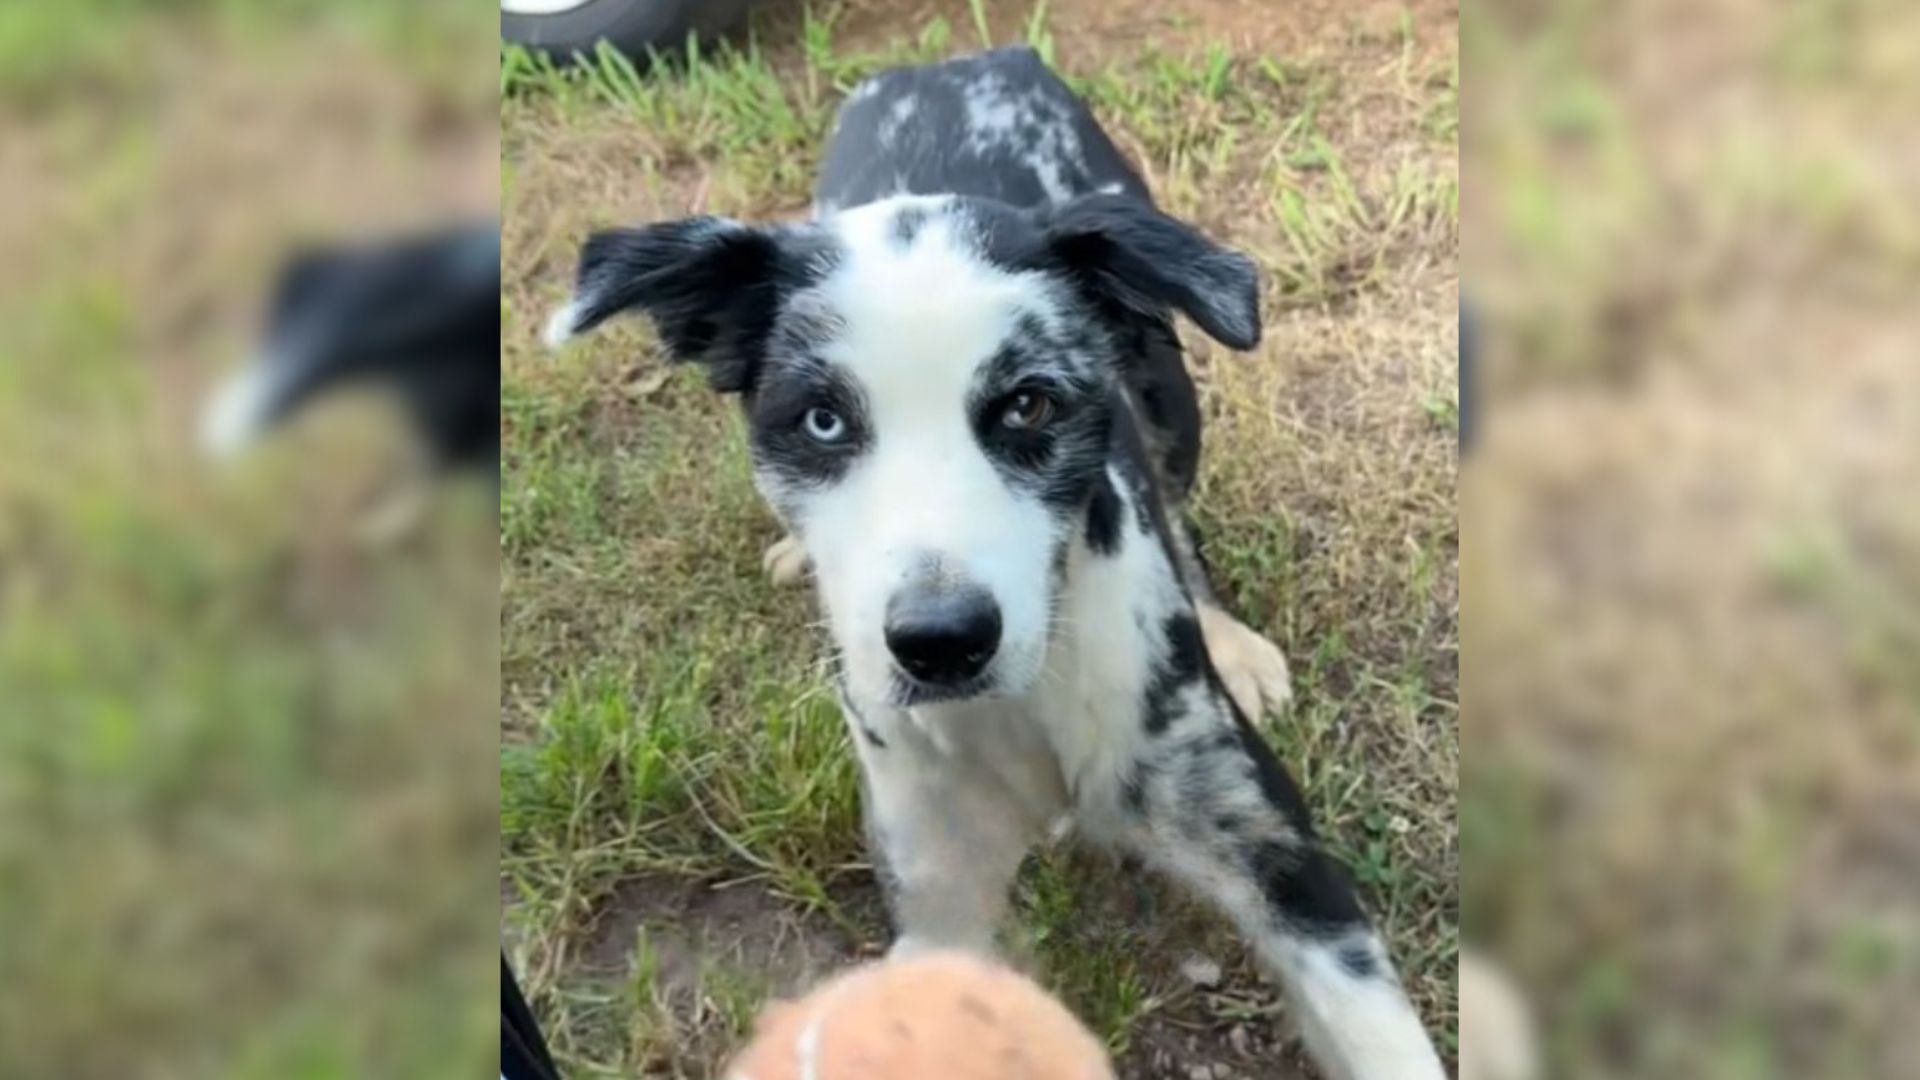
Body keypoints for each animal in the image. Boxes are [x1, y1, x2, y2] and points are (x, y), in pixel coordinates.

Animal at [541, 48, 1443, 1076]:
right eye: (823, 419)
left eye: (1029, 404)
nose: (941, 642)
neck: (1017, 708)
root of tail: (961, 60)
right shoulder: (935, 887)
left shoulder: (1282, 866)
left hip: (1168, 386)